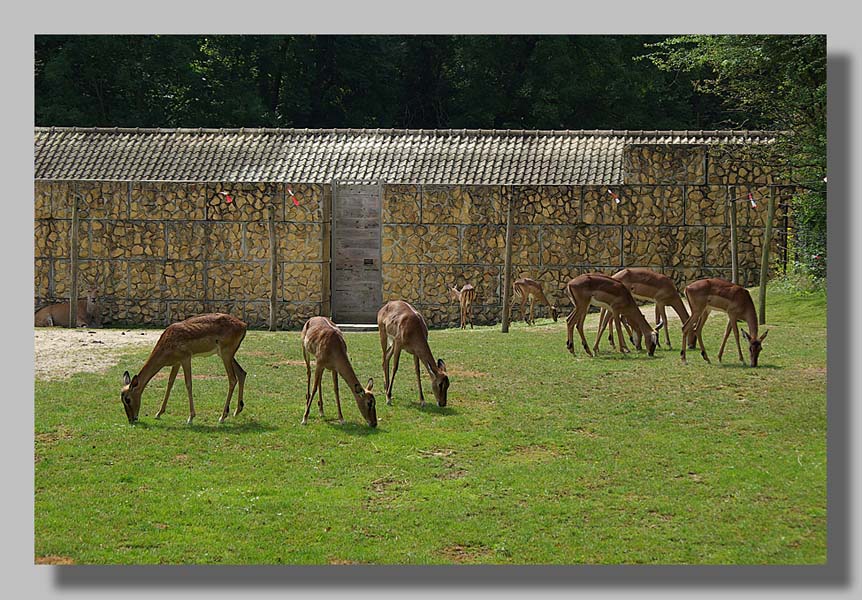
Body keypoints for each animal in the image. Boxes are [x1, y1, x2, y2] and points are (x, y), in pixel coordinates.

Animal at [118, 312, 248, 424]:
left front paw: (190, 418)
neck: (167, 343)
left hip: (226, 354)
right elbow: (170, 383)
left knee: (232, 379)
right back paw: (237, 411)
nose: (131, 419)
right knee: (242, 373)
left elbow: (188, 384)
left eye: (127, 399)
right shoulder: (177, 363)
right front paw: (158, 413)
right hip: (226, 355)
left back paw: (222, 417)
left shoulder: (186, 358)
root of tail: (244, 326)